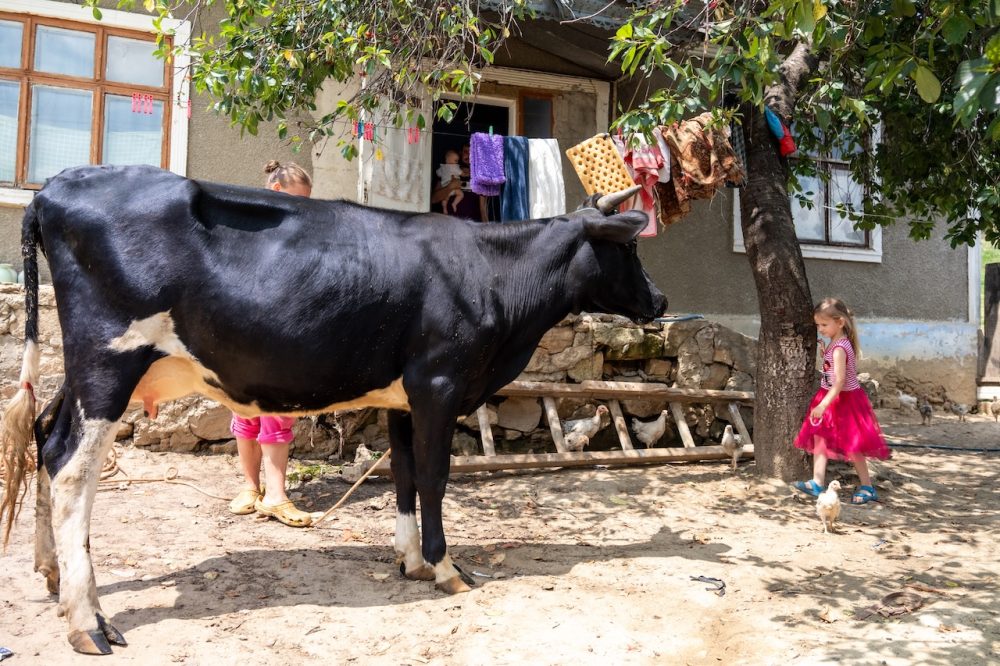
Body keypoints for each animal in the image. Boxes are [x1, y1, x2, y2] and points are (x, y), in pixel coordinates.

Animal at [0, 164, 666, 654]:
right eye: (631, 250)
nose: (660, 299)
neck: (493, 276)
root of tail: (58, 185)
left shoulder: (404, 396)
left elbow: (404, 476)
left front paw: (410, 561)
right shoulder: (440, 383)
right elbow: (435, 477)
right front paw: (446, 568)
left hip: (84, 369)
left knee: (46, 435)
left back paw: (53, 574)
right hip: (109, 360)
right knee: (71, 468)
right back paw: (88, 622)